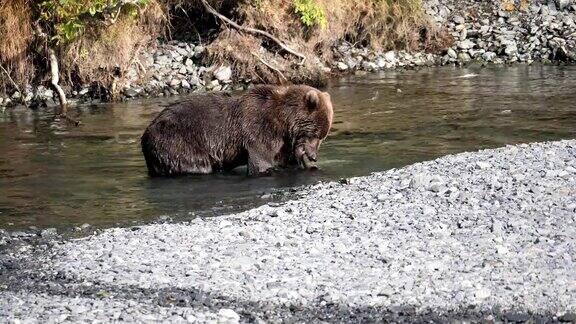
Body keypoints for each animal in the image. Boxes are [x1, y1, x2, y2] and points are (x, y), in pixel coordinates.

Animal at [140, 83, 336, 175]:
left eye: (322, 137)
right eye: (315, 134)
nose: (314, 156)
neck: (283, 122)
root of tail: (145, 134)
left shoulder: (283, 142)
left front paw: (305, 162)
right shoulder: (259, 130)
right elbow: (261, 162)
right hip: (178, 141)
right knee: (195, 164)